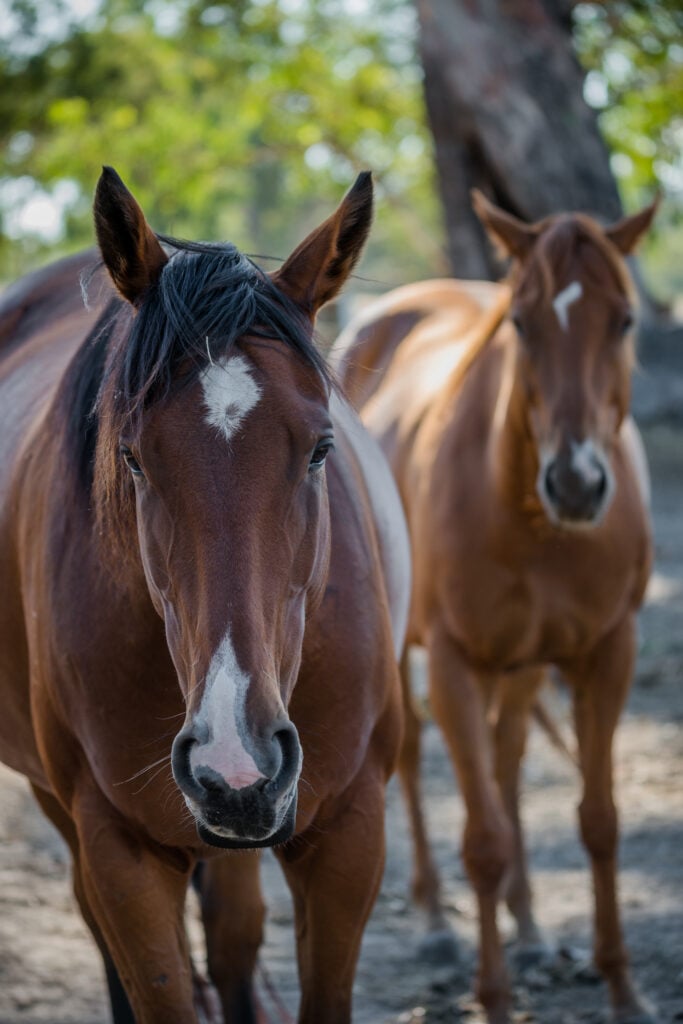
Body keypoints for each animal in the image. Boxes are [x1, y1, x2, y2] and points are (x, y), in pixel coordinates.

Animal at [0, 169, 409, 1024]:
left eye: (320, 448)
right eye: (132, 457)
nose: (232, 753)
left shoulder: (350, 831)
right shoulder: (118, 849)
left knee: (233, 928)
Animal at [333, 193, 659, 1024]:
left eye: (624, 321)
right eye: (520, 321)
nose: (575, 483)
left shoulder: (607, 653)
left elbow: (598, 823)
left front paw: (622, 989)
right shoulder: (452, 661)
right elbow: (481, 841)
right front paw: (494, 996)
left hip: (520, 665)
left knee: (507, 759)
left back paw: (533, 930)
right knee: (414, 758)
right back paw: (432, 924)